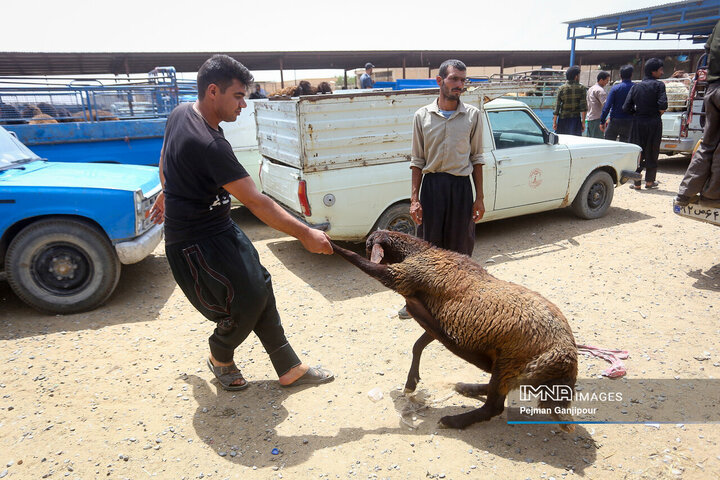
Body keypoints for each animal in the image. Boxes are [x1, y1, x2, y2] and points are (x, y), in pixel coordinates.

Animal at [332, 232, 580, 432]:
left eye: (369, 245)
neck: (424, 252)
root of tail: (568, 360)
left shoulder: (405, 278)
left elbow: (357, 260)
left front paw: (329, 244)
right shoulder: (435, 317)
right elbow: (418, 345)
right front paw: (411, 382)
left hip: (511, 360)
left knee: (493, 406)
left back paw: (454, 420)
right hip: (509, 365)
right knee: (499, 391)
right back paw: (468, 388)